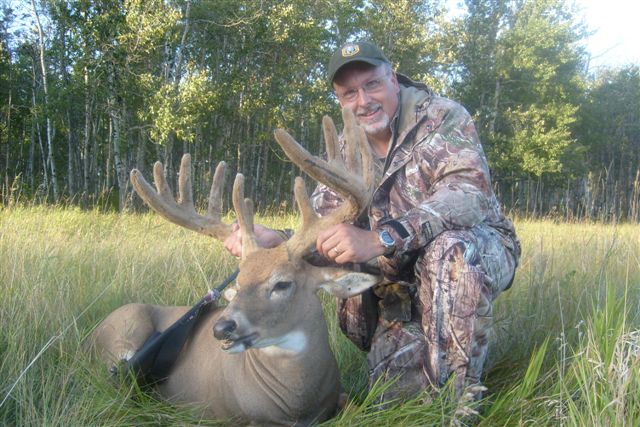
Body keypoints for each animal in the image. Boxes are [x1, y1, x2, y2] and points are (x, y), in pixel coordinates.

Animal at [88, 108, 382, 426]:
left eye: (282, 283)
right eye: (238, 284)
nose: (222, 327)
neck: (298, 402)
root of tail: (92, 333)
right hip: (126, 329)